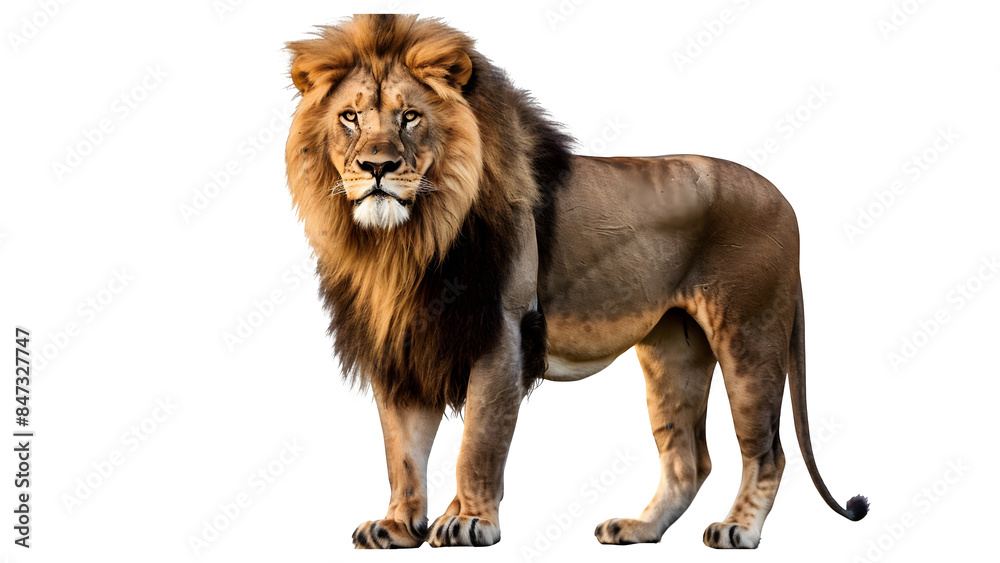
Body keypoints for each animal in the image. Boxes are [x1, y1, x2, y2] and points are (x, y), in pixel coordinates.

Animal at [284, 14, 868, 550]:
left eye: (410, 117)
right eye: (350, 117)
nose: (376, 167)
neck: (407, 240)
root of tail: (783, 198)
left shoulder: (503, 331)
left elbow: (478, 442)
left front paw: (468, 521)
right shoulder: (400, 343)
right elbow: (401, 452)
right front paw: (398, 527)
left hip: (750, 335)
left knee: (766, 450)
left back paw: (737, 529)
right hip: (673, 352)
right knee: (689, 460)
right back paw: (637, 528)